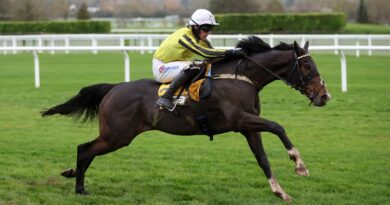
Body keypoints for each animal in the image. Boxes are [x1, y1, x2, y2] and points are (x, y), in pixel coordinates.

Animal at [42, 36, 330, 202]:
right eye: (307, 66)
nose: (324, 96)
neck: (242, 77)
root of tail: (113, 88)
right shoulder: (240, 120)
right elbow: (278, 126)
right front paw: (299, 164)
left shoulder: (248, 127)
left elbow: (263, 159)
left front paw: (279, 191)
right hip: (117, 135)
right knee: (84, 148)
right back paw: (79, 187)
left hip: (115, 135)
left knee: (87, 150)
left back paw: (72, 174)